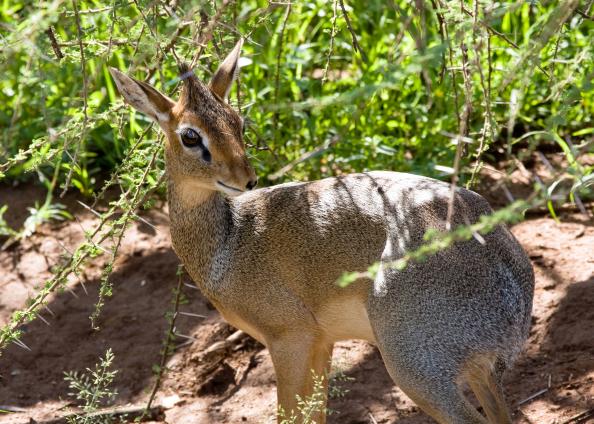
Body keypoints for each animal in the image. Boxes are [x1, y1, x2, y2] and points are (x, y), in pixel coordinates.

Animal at [110, 40, 532, 424]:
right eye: (190, 135)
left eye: (237, 122)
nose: (247, 180)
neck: (228, 243)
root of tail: (512, 281)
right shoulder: (322, 343)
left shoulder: (290, 339)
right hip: (476, 371)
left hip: (415, 366)